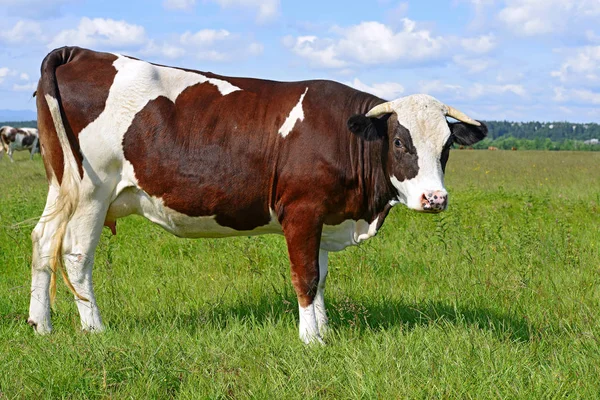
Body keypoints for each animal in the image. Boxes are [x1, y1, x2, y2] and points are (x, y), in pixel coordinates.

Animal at [27, 45, 488, 342]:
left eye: (447, 145)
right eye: (399, 142)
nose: (435, 199)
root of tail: (79, 52)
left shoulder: (323, 217)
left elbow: (321, 278)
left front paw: (324, 330)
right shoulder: (302, 210)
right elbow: (306, 276)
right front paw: (311, 340)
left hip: (62, 185)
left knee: (42, 241)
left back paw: (41, 326)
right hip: (92, 190)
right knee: (76, 256)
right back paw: (94, 330)